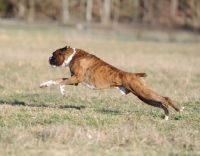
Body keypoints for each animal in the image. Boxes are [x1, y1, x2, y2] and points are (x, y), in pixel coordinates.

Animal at [40, 45, 184, 120]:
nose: (48, 58)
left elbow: (60, 83)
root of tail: (134, 74)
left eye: (54, 54)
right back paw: (166, 116)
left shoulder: (77, 79)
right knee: (161, 102)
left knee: (165, 98)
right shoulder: (74, 80)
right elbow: (57, 80)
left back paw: (178, 109)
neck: (73, 55)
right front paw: (44, 84)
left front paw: (63, 93)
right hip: (144, 97)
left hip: (143, 92)